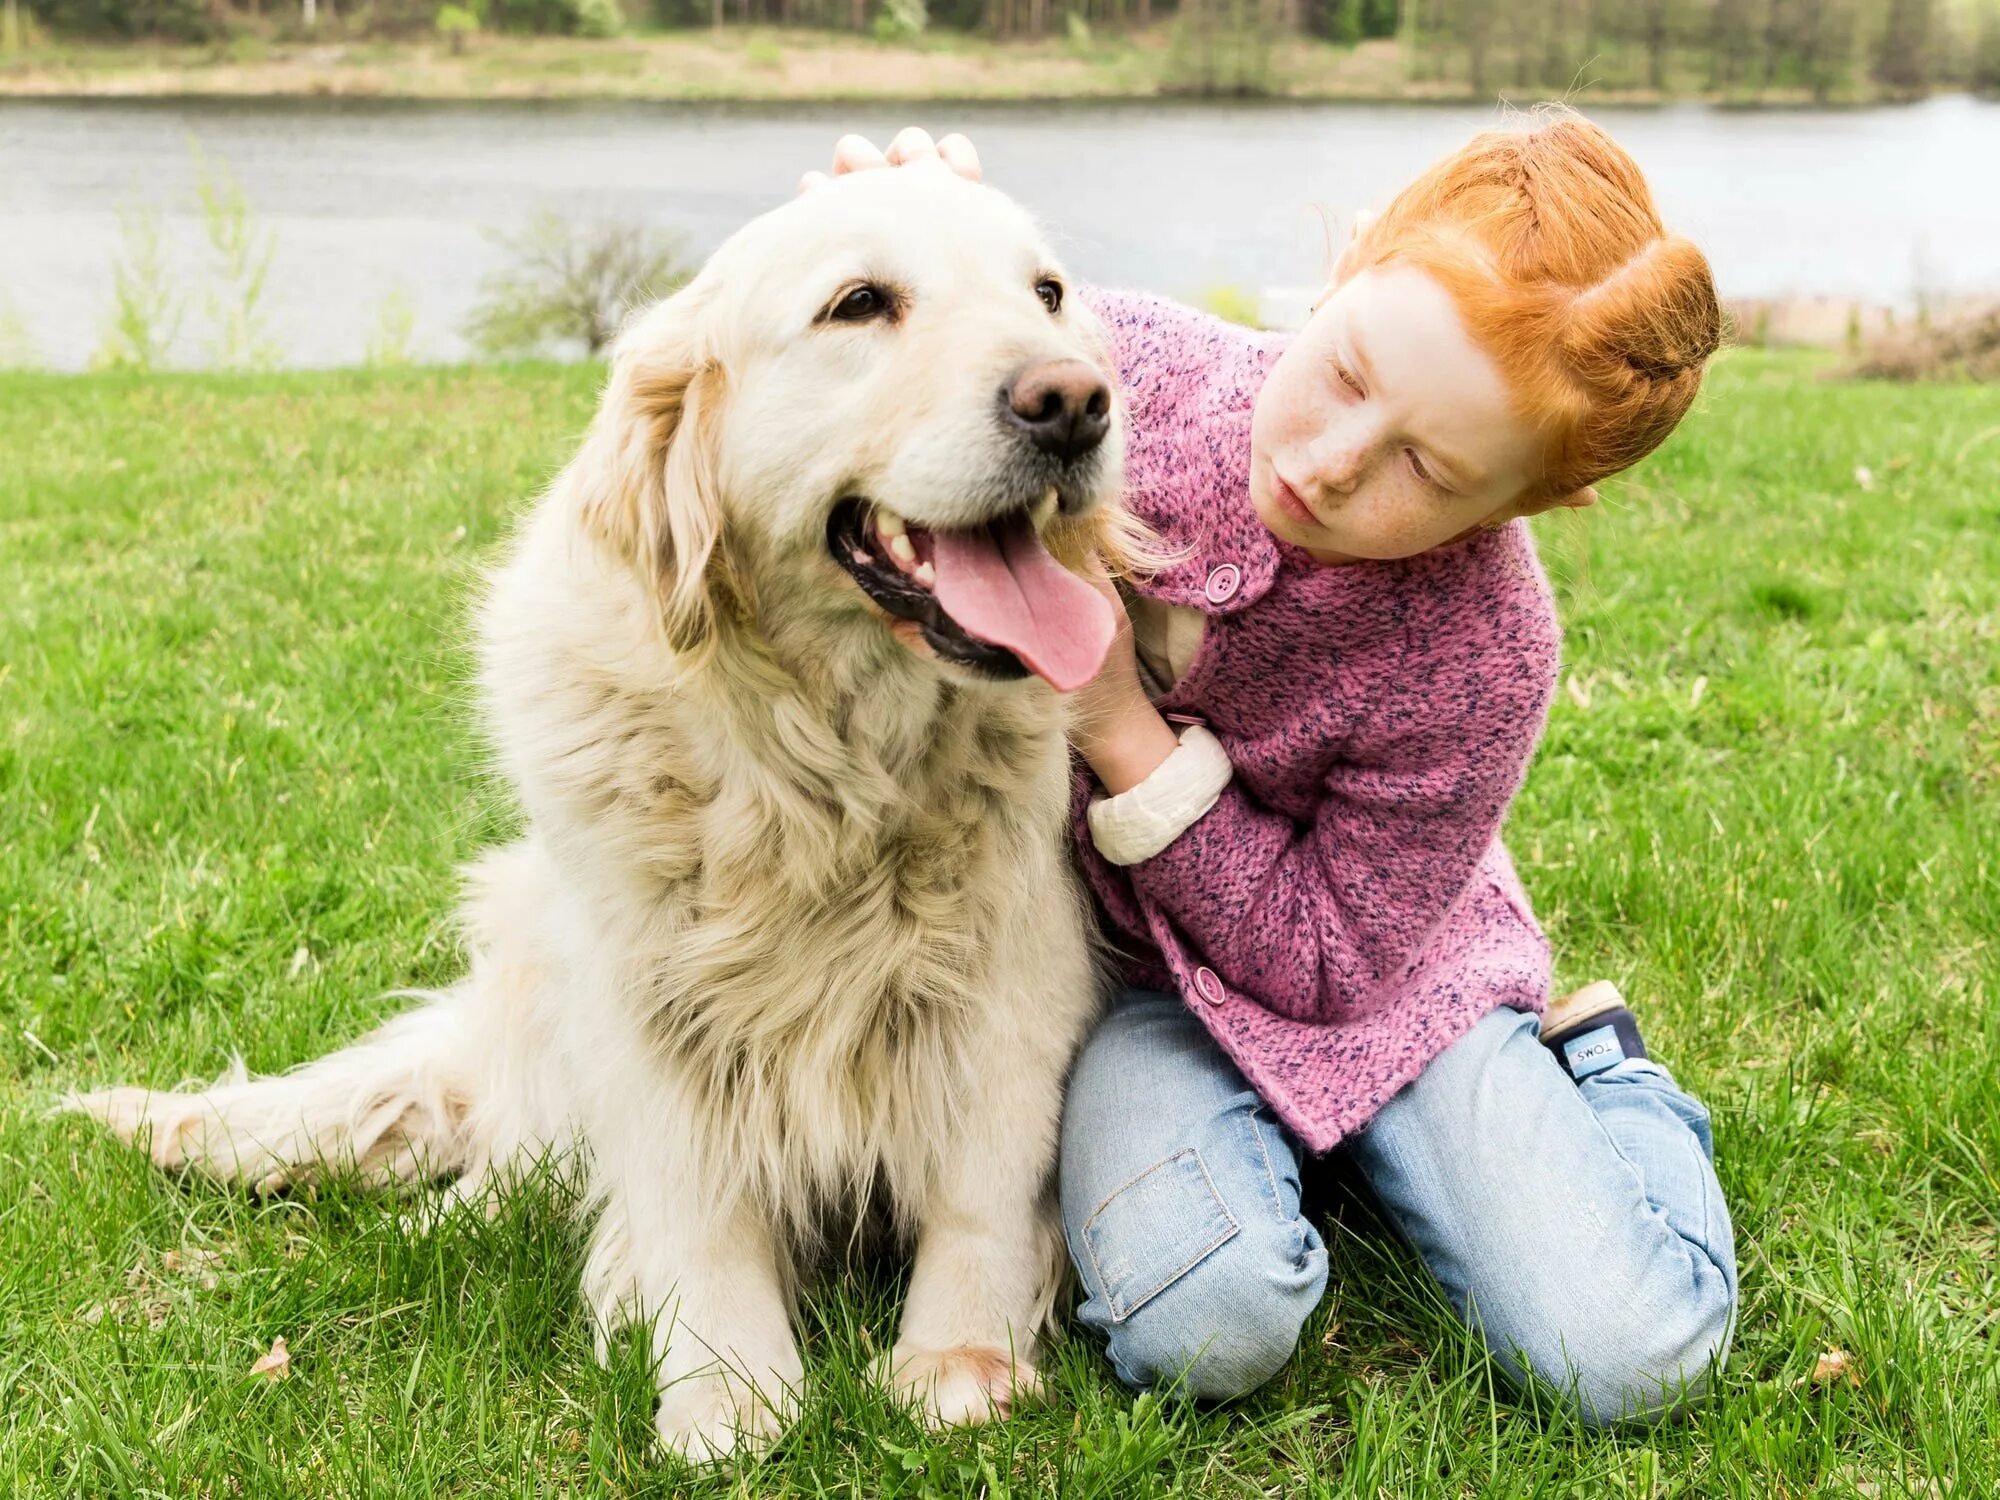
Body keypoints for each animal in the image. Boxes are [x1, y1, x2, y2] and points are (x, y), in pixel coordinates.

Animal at [70, 167, 1136, 1472]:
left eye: (1047, 295)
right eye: (859, 303)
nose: (1073, 401)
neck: (821, 767)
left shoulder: (1014, 981)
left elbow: (979, 1190)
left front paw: (956, 1365)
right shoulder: (647, 1004)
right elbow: (694, 1210)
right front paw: (728, 1390)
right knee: (508, 1163)